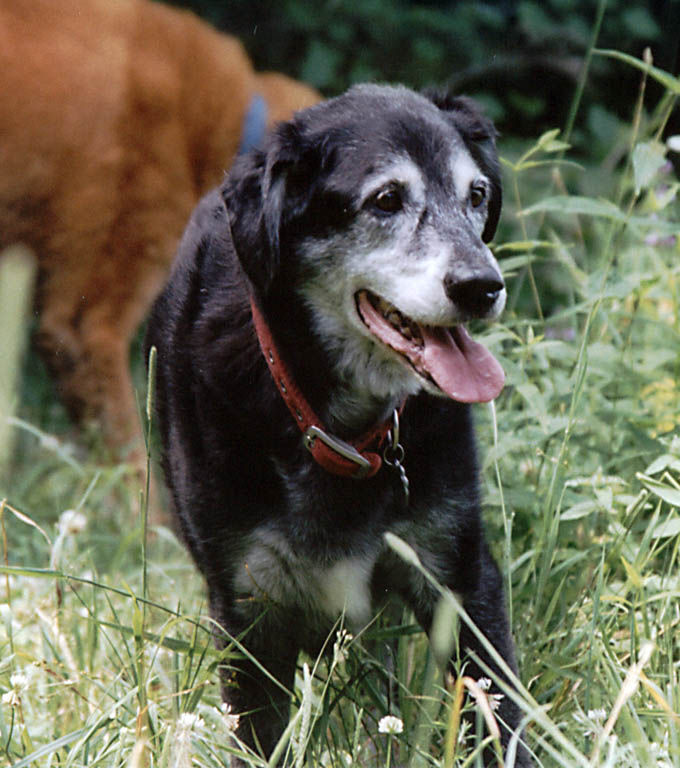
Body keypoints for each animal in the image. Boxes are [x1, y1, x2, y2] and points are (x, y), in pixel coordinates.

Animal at [147, 84, 532, 760]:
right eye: (386, 200)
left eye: (477, 194)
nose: (482, 286)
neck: (344, 433)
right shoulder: (249, 611)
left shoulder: (459, 575)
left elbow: (497, 717)